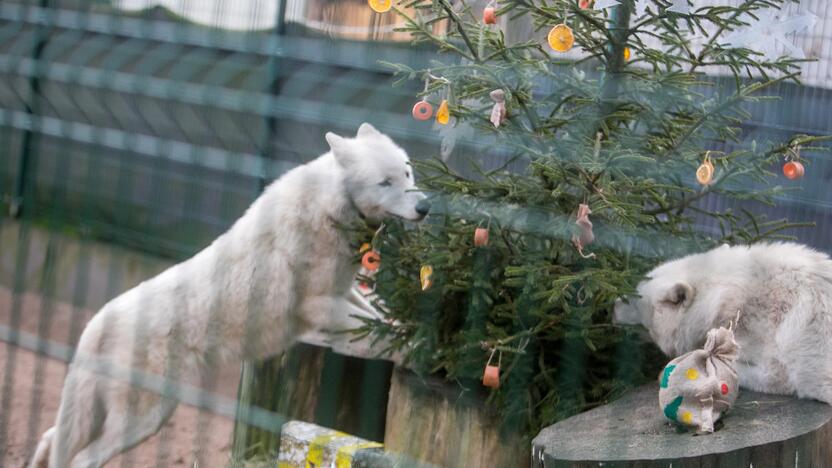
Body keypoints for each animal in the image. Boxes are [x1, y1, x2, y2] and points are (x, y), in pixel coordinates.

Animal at [28, 122, 426, 466]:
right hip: (146, 420)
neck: (331, 208)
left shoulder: (345, 292)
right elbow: (379, 334)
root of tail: (95, 323)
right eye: (385, 182)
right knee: (78, 457)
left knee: (49, 438)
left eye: (407, 173)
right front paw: (416, 350)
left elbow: (378, 318)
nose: (425, 207)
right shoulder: (321, 305)